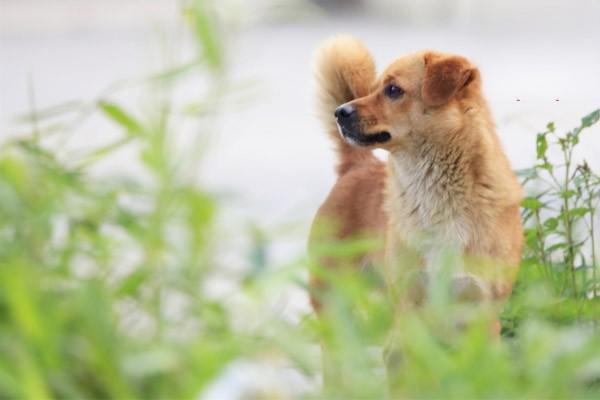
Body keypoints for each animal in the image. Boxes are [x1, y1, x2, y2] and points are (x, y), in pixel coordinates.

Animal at [308, 35, 524, 384]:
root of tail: (357, 166)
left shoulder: (481, 316)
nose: (340, 112)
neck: (440, 196)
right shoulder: (411, 314)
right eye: (375, 87)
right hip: (335, 304)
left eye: (393, 90)